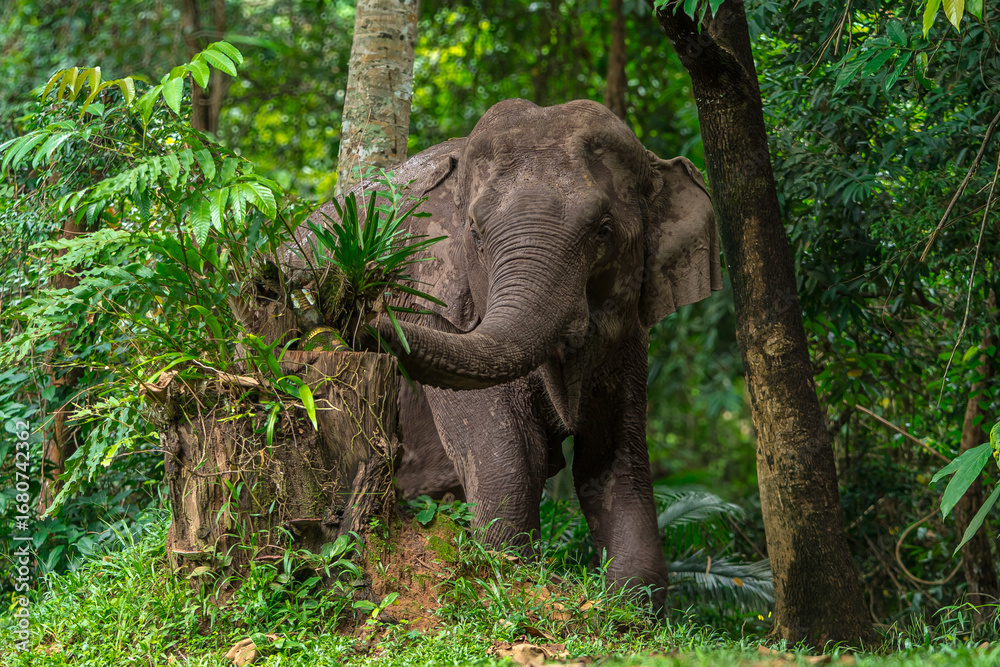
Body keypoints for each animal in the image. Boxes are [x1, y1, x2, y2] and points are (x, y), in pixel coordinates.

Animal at [310, 98, 721, 611]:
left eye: (603, 231)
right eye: (475, 232)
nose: (357, 306)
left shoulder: (628, 337)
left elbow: (613, 463)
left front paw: (630, 610)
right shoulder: (432, 302)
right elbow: (508, 457)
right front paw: (513, 579)